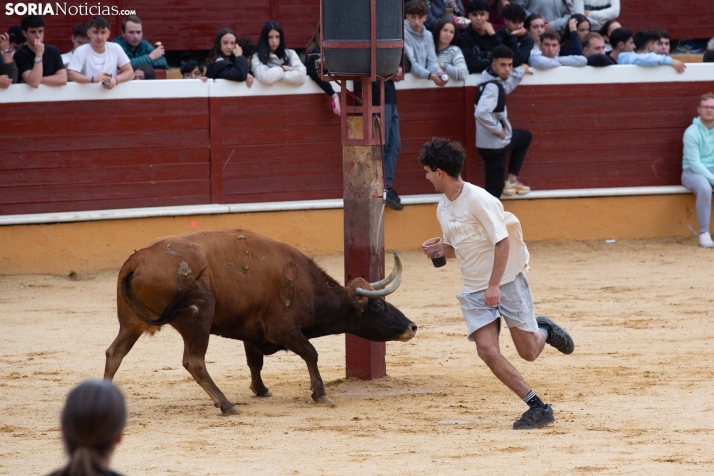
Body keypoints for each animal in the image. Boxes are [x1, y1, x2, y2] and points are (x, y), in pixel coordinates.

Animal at [105, 230, 418, 412]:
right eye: (378, 304)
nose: (412, 327)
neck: (305, 284)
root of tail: (136, 260)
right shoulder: (284, 329)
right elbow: (311, 353)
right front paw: (320, 393)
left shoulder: (251, 334)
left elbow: (255, 362)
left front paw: (261, 389)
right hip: (198, 319)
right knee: (194, 362)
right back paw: (226, 404)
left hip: (130, 323)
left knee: (114, 353)